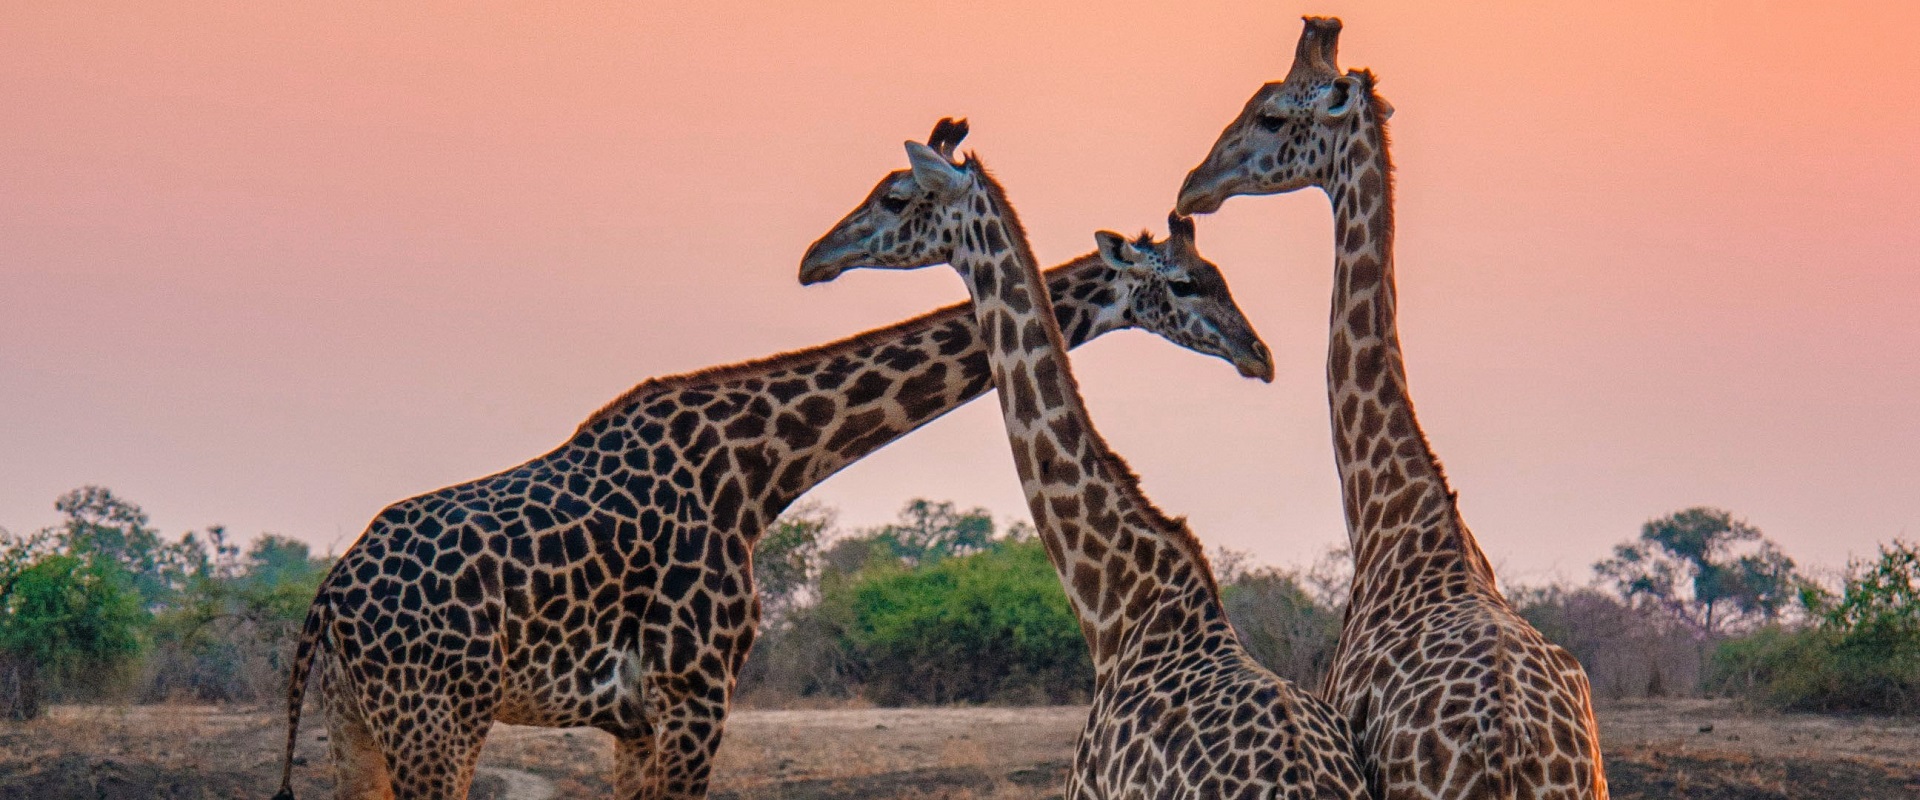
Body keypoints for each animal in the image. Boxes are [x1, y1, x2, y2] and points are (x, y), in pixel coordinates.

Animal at [270, 117, 1282, 798]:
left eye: (1218, 278)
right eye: (1189, 284)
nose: (1258, 354)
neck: (763, 469)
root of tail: (328, 600)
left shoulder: (644, 719)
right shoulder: (693, 694)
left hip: (356, 723)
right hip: (435, 722)